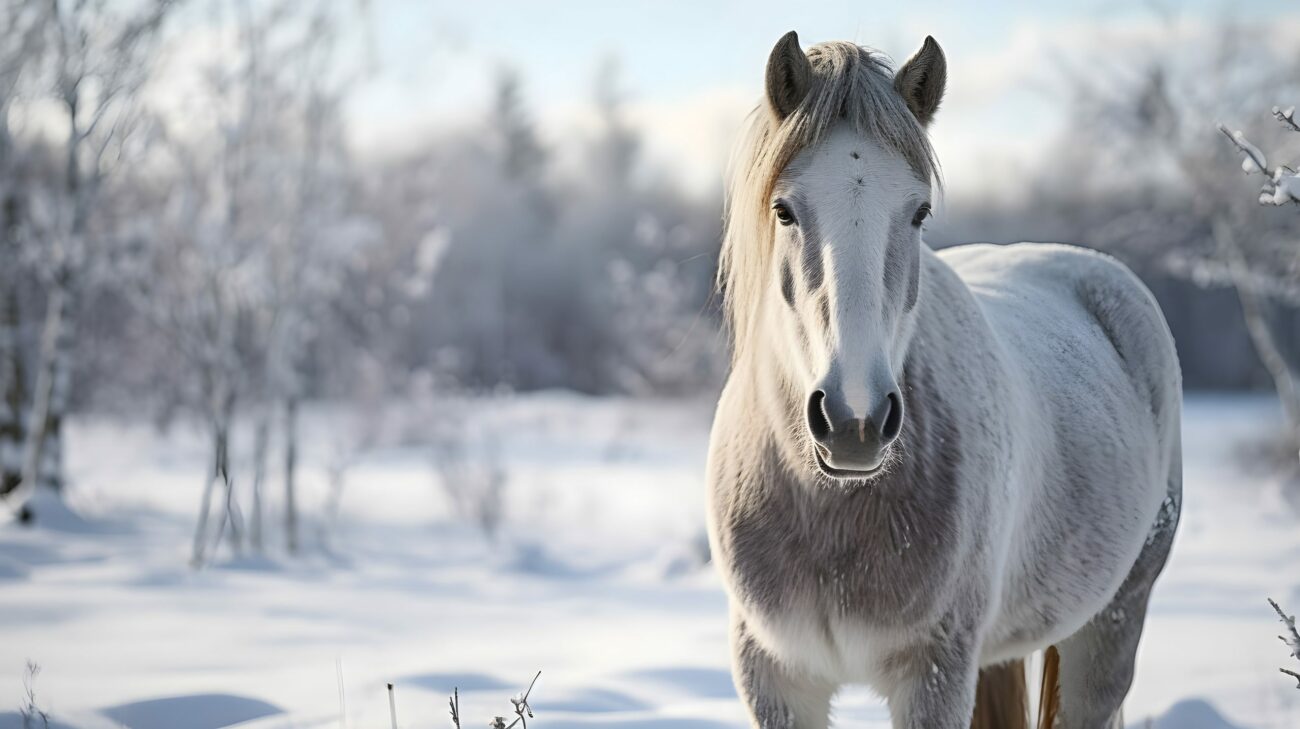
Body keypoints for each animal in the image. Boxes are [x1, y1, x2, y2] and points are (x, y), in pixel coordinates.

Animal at [707, 29, 1185, 727]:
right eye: (784, 210)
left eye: (919, 212)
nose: (855, 421)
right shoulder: (776, 679)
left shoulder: (932, 678)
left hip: (1111, 625)